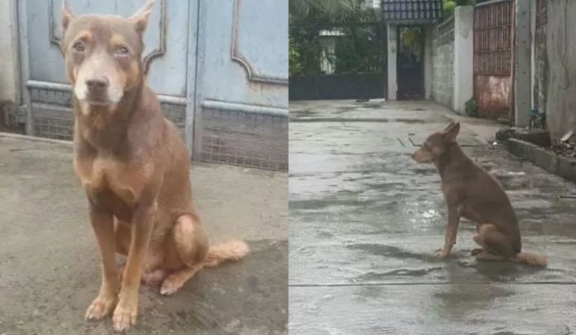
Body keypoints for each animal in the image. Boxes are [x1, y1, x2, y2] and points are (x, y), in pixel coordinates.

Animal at [59, 0, 249, 330]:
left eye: (122, 51)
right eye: (78, 46)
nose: (96, 84)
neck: (106, 128)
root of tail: (157, 267)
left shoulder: (145, 208)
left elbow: (134, 268)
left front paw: (125, 309)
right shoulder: (96, 207)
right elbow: (106, 263)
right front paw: (106, 299)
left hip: (185, 227)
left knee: (194, 264)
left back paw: (172, 279)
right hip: (121, 230)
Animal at [412, 121, 548, 268]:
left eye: (426, 145)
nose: (412, 155)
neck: (450, 164)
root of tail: (517, 252)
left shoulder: (454, 208)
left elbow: (448, 235)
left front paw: (444, 254)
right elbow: (452, 235)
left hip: (485, 228)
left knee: (505, 257)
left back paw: (485, 256)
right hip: (478, 227)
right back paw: (480, 251)